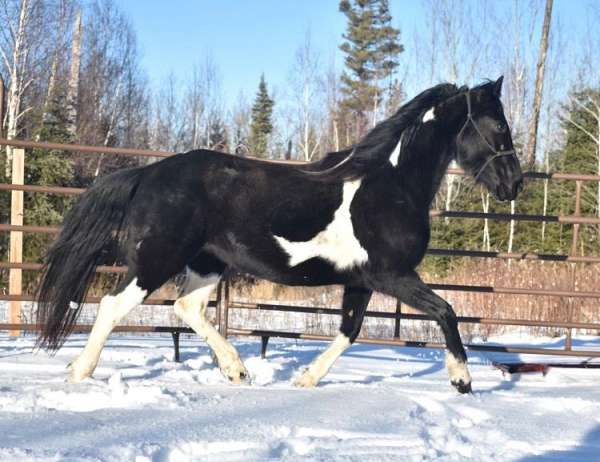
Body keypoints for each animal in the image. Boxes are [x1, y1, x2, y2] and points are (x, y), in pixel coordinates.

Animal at [37, 76, 524, 394]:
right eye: (500, 127)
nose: (515, 184)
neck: (391, 184)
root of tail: (147, 173)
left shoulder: (361, 280)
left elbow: (349, 330)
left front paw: (306, 379)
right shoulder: (393, 275)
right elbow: (446, 311)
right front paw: (461, 379)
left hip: (207, 263)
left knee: (186, 307)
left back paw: (236, 371)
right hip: (157, 260)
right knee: (112, 305)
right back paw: (79, 372)